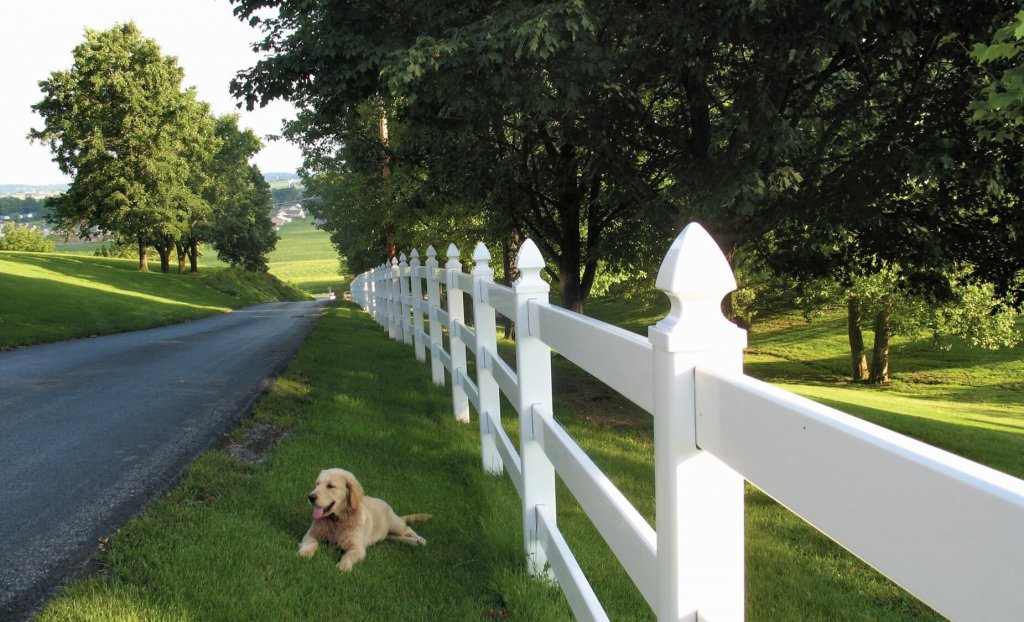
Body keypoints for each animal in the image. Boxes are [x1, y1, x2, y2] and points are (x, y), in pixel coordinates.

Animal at [299, 467, 430, 573]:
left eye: (331, 486)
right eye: (317, 484)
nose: (310, 497)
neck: (336, 520)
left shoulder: (357, 548)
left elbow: (347, 556)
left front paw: (343, 566)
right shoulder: (311, 534)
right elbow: (312, 543)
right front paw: (304, 553)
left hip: (396, 525)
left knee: (407, 528)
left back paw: (419, 540)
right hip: (387, 534)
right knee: (395, 537)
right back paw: (413, 542)